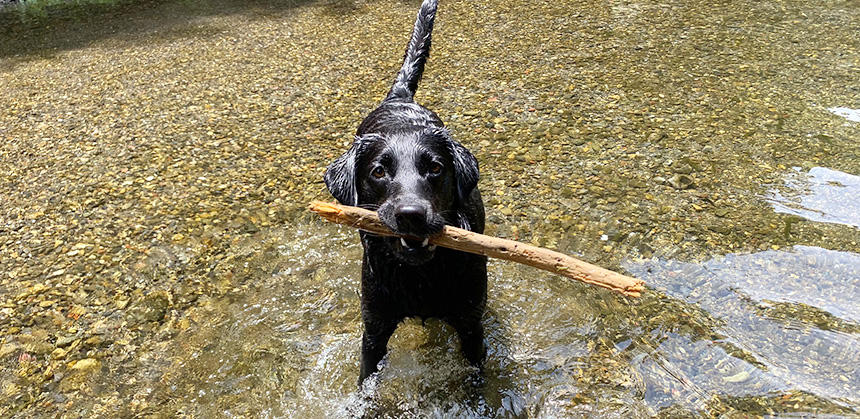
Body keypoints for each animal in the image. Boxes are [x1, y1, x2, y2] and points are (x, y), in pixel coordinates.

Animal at [322, 0, 488, 386]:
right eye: (378, 172)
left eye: (436, 168)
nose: (411, 215)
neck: (420, 277)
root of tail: (398, 98)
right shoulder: (374, 329)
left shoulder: (472, 326)